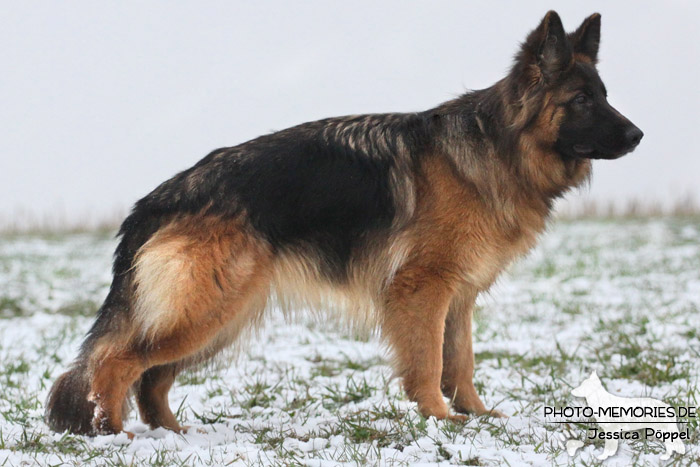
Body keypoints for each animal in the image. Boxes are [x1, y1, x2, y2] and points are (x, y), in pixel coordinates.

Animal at [46, 9, 644, 436]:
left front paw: (475, 415)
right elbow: (429, 362)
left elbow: (461, 361)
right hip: (207, 311)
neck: (494, 146)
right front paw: (440, 419)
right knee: (117, 364)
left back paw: (174, 435)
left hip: (221, 317)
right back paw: (115, 433)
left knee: (151, 378)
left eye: (604, 95)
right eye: (581, 99)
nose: (639, 135)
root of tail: (157, 199)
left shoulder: (460, 294)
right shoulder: (422, 289)